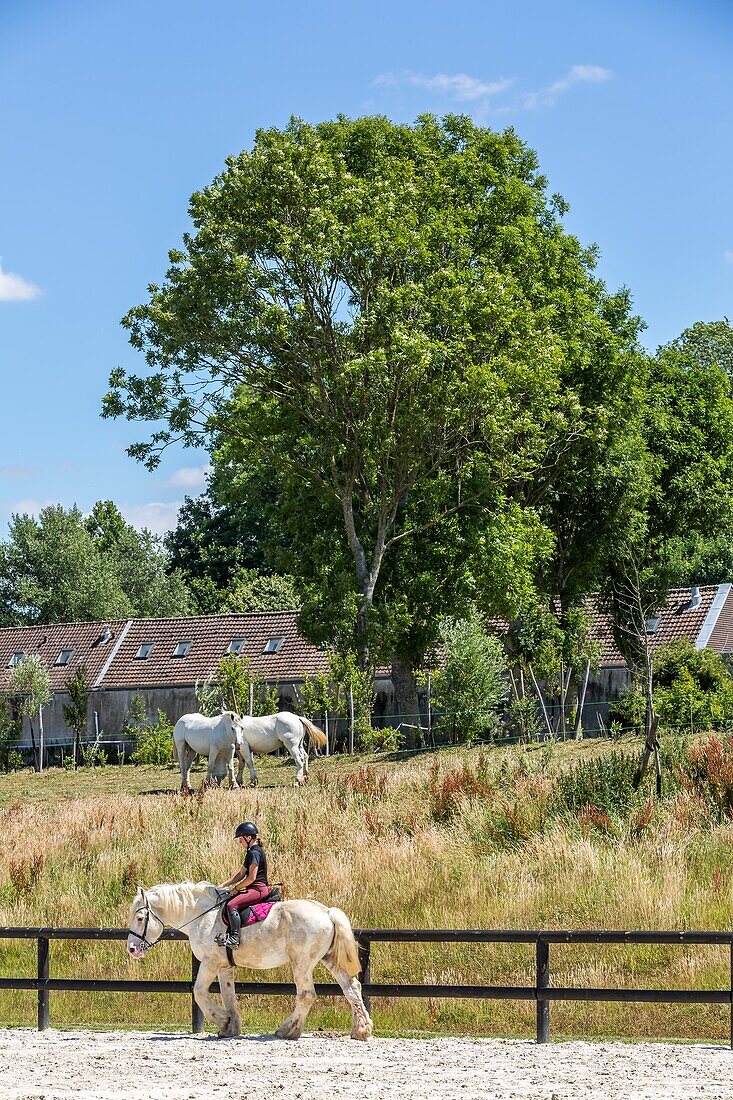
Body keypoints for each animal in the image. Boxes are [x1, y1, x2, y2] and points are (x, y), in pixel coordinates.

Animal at [124, 884, 372, 1038]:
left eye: (140, 918)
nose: (132, 949)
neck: (202, 917)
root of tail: (327, 912)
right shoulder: (224, 966)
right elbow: (229, 996)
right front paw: (230, 1027)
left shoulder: (210, 963)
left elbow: (199, 992)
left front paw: (223, 1021)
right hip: (328, 959)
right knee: (352, 988)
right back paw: (361, 1030)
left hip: (302, 963)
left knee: (306, 994)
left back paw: (288, 1031)